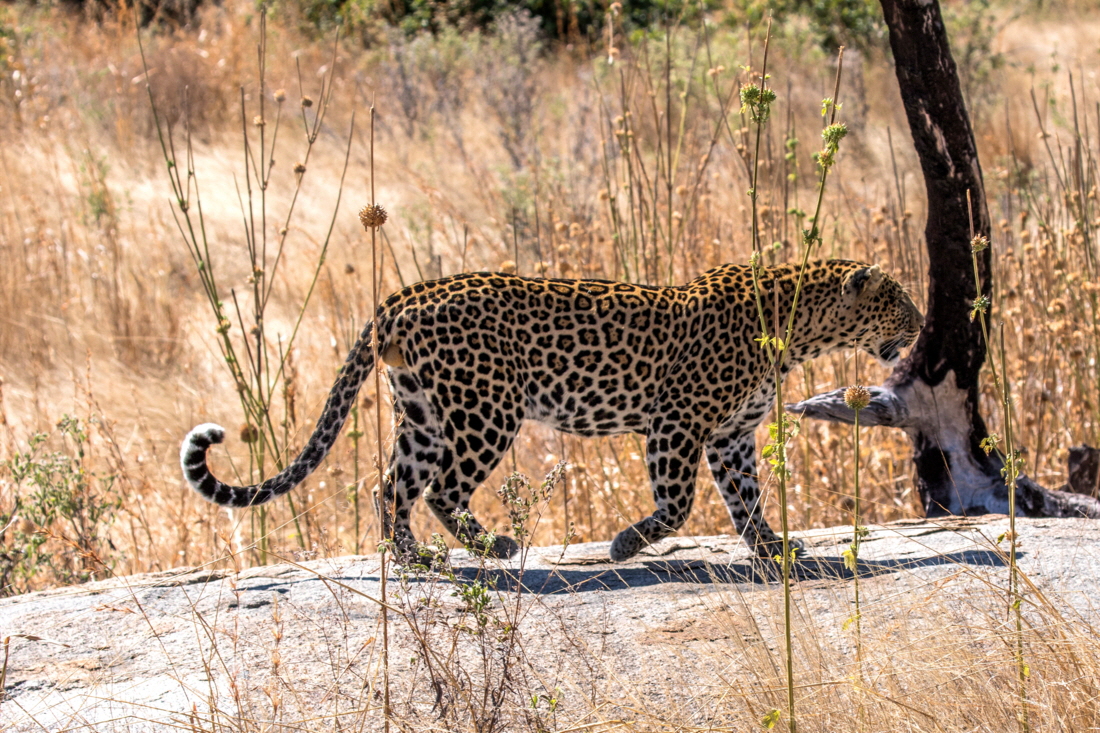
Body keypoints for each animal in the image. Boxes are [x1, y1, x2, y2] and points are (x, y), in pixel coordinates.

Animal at [180, 259, 923, 562]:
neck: (800, 328)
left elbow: (746, 499)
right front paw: (625, 544)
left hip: (423, 410)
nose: (919, 326)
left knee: (389, 486)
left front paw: (772, 548)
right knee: (441, 488)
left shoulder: (733, 435)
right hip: (485, 408)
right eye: (897, 301)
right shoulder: (678, 422)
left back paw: (415, 559)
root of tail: (402, 295)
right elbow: (679, 504)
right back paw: (493, 547)